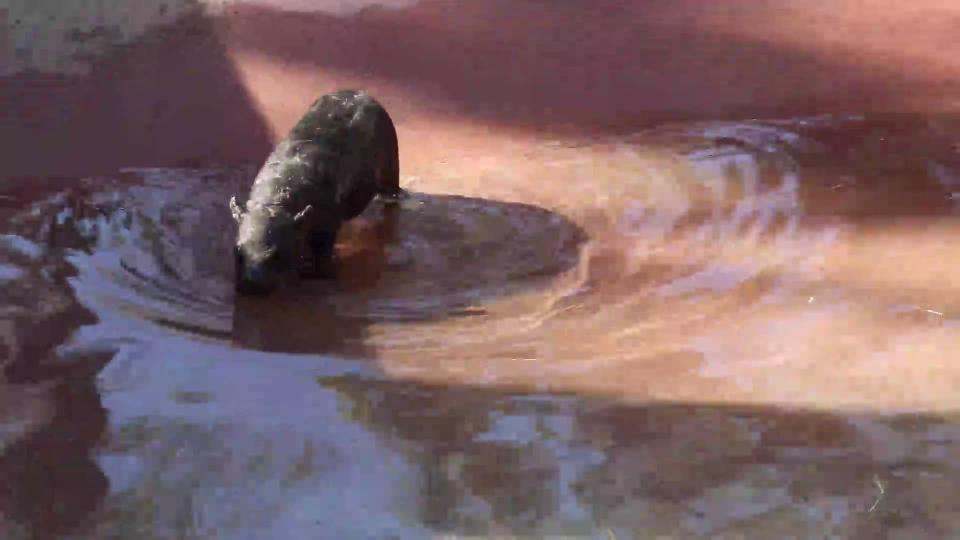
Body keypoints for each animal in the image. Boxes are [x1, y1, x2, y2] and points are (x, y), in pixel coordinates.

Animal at [231, 88, 404, 294]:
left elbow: (323, 251)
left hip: (391, 167)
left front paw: (322, 274)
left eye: (277, 255)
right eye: (237, 250)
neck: (276, 201)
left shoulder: (328, 222)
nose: (252, 283)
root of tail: (362, 92)